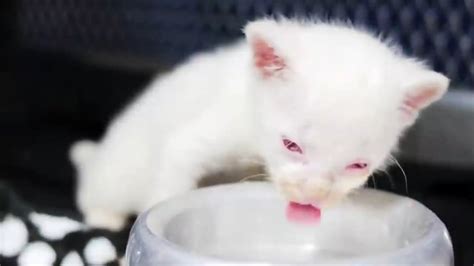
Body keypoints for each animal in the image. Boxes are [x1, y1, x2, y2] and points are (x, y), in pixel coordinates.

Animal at [69, 18, 448, 231]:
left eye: (358, 166)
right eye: (290, 145)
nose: (312, 197)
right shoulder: (202, 136)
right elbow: (172, 181)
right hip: (115, 175)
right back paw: (103, 214)